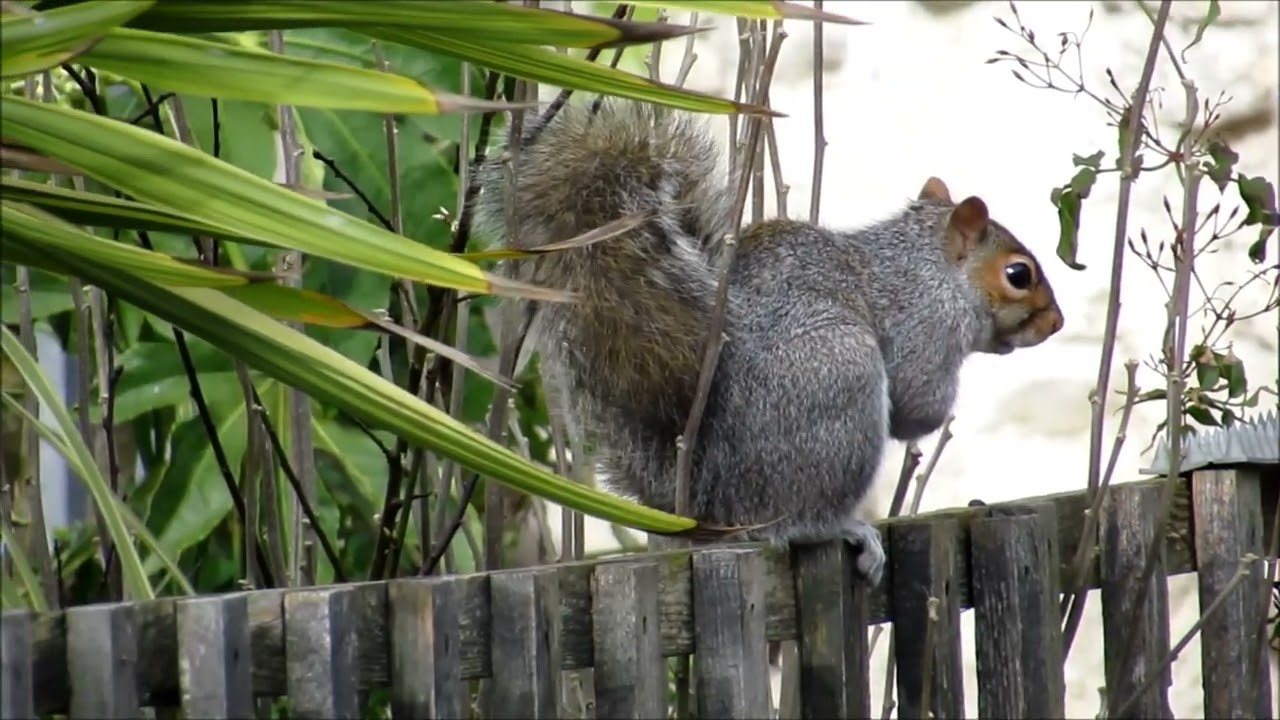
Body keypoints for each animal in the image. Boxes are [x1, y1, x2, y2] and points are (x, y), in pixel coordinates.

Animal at [473, 101, 1064, 585]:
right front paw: (939, 417)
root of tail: (710, 498)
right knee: (789, 524)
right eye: (1018, 274)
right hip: (840, 378)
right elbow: (916, 402)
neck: (929, 267)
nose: (1055, 324)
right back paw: (846, 529)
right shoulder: (926, 326)